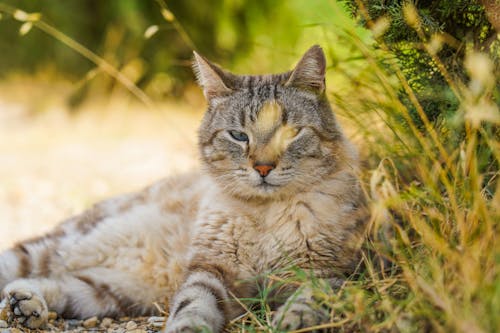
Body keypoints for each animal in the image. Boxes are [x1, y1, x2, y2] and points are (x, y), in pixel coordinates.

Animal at [0, 44, 368, 332]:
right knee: (20, 265)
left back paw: (27, 304)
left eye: (290, 133)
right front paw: (188, 326)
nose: (263, 167)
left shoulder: (331, 272)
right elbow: (194, 305)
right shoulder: (209, 271)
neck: (265, 216)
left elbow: (312, 298)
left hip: (109, 292)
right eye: (238, 136)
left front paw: (296, 320)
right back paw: (22, 304)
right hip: (61, 247)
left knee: (55, 282)